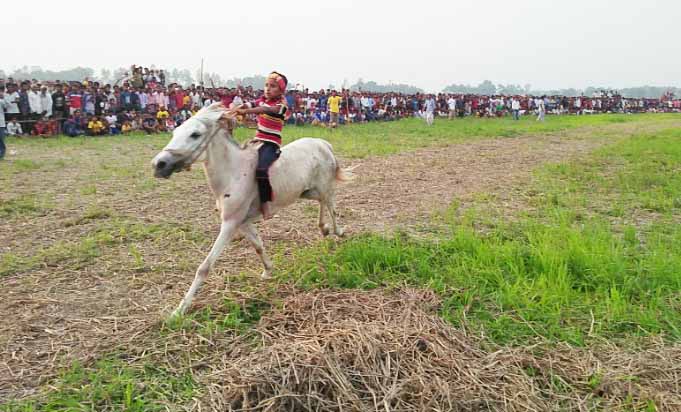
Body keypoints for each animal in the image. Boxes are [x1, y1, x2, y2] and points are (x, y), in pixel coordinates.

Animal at [151, 102, 348, 316]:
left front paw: (179, 311)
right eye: (175, 131)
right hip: (307, 191)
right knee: (322, 203)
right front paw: (268, 270)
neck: (233, 173)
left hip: (324, 186)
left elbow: (205, 267)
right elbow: (258, 246)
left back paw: (338, 231)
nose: (159, 164)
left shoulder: (229, 224)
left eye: (195, 134)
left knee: (331, 205)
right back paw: (324, 229)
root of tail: (323, 143)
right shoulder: (242, 223)